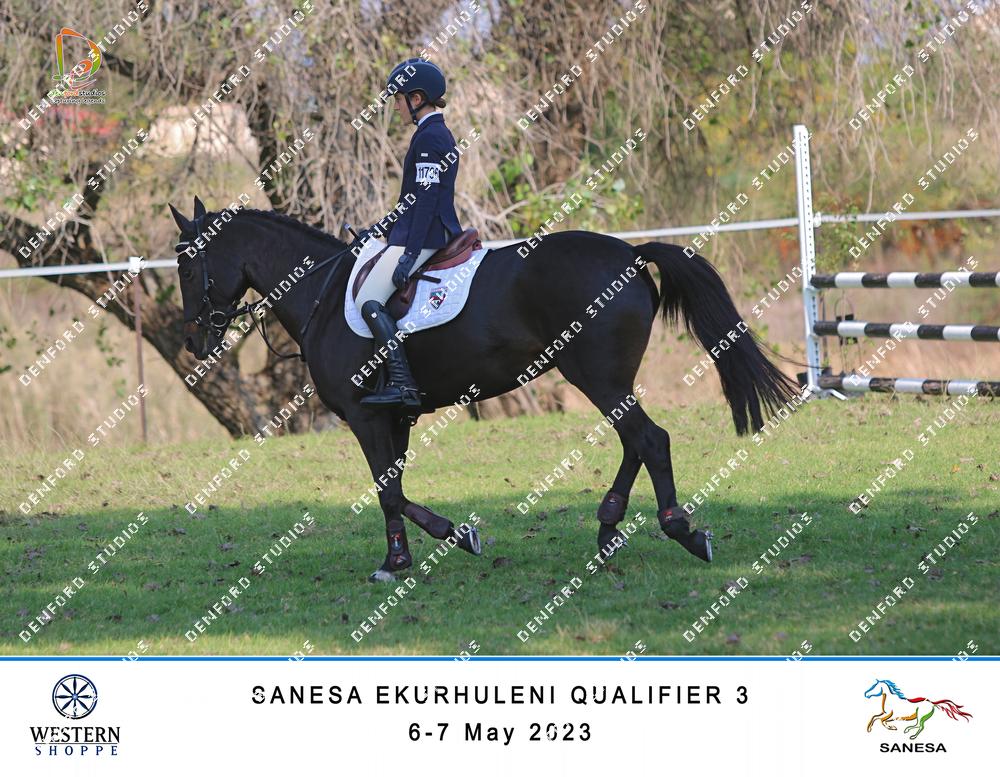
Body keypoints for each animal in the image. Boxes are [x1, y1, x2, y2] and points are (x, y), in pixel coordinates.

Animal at [169, 197, 797, 582]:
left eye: (187, 268)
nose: (193, 341)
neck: (321, 293)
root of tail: (630, 252)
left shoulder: (365, 416)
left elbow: (389, 492)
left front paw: (433, 546)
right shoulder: (393, 418)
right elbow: (393, 489)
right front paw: (417, 551)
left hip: (596, 376)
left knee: (649, 440)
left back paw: (679, 531)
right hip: (607, 380)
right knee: (635, 442)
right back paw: (608, 527)